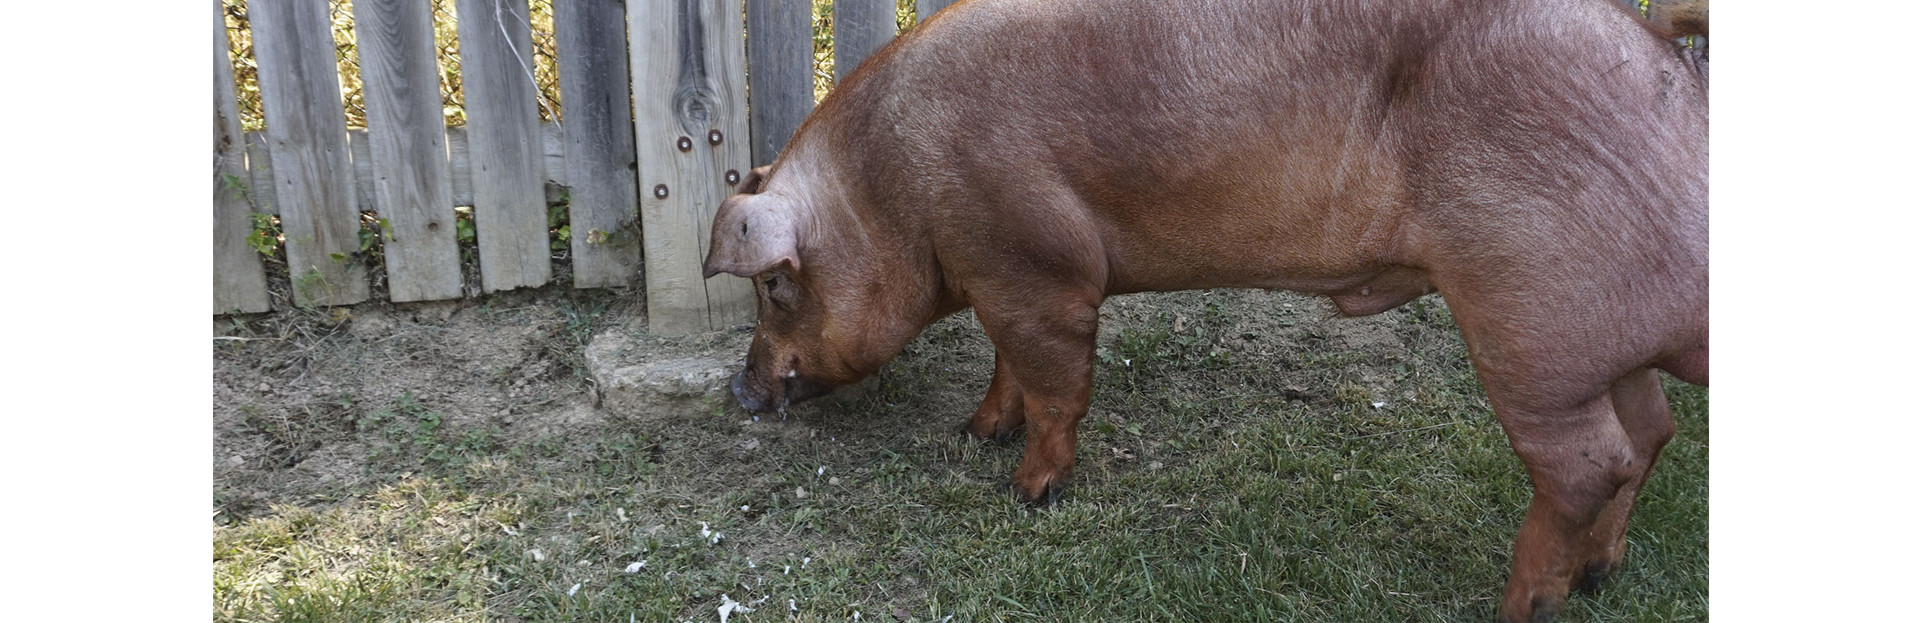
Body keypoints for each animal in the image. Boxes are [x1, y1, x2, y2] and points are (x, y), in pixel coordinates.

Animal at [702, 0, 1706, 620]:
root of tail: (1666, 67)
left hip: (1528, 327)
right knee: (1648, 434)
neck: (896, 187)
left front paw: (1028, 492)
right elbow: (1004, 367)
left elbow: (1056, 382)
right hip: (1597, 348)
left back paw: (1517, 605)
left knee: (1588, 463)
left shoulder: (1040, 269)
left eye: (774, 283)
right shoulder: (996, 278)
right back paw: (1600, 578)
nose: (739, 394)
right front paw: (974, 432)